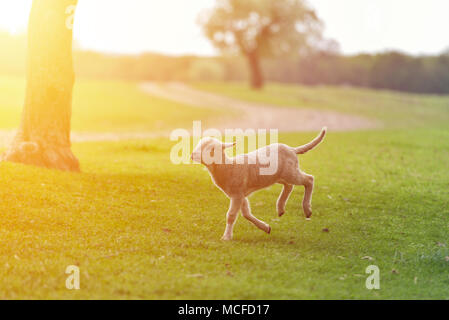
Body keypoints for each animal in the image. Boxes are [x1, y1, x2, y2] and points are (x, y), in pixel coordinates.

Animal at [190, 127, 326, 240]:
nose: (192, 155)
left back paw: (307, 209)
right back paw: (280, 208)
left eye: (211, 149)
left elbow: (231, 215)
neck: (228, 166)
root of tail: (292, 149)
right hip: (279, 176)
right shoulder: (239, 194)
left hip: (290, 172)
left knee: (309, 179)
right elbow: (246, 213)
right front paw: (266, 228)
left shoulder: (237, 194)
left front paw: (226, 237)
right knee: (289, 185)